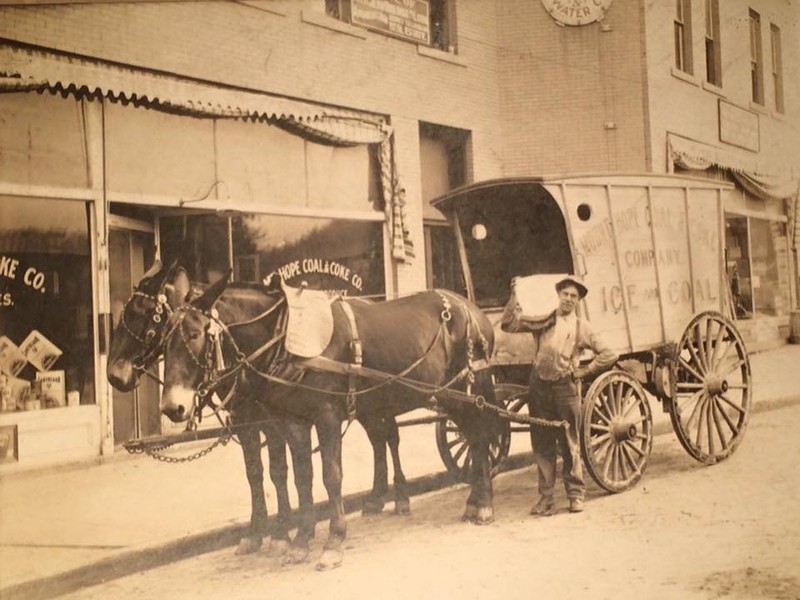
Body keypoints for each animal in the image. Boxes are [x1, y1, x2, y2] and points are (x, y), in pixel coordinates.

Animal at [159, 274, 504, 568]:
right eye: (163, 342)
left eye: (194, 335)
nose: (172, 407)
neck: (284, 337)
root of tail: (471, 308)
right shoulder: (293, 421)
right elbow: (302, 477)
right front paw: (301, 540)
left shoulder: (326, 417)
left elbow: (331, 476)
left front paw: (333, 541)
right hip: (448, 395)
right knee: (470, 437)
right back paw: (472, 500)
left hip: (469, 386)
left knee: (482, 435)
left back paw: (484, 503)